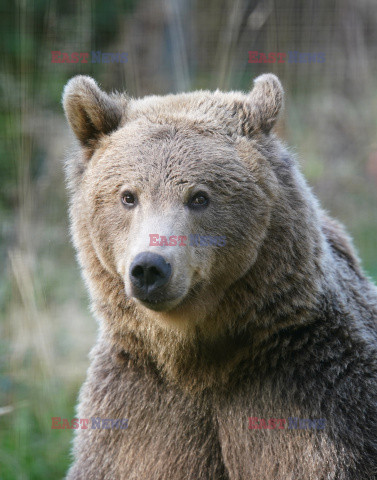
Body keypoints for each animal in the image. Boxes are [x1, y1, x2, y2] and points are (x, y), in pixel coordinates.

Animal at [62, 75, 376, 480]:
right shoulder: (138, 409)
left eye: (199, 197)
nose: (150, 267)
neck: (197, 361)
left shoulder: (307, 393)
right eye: (128, 196)